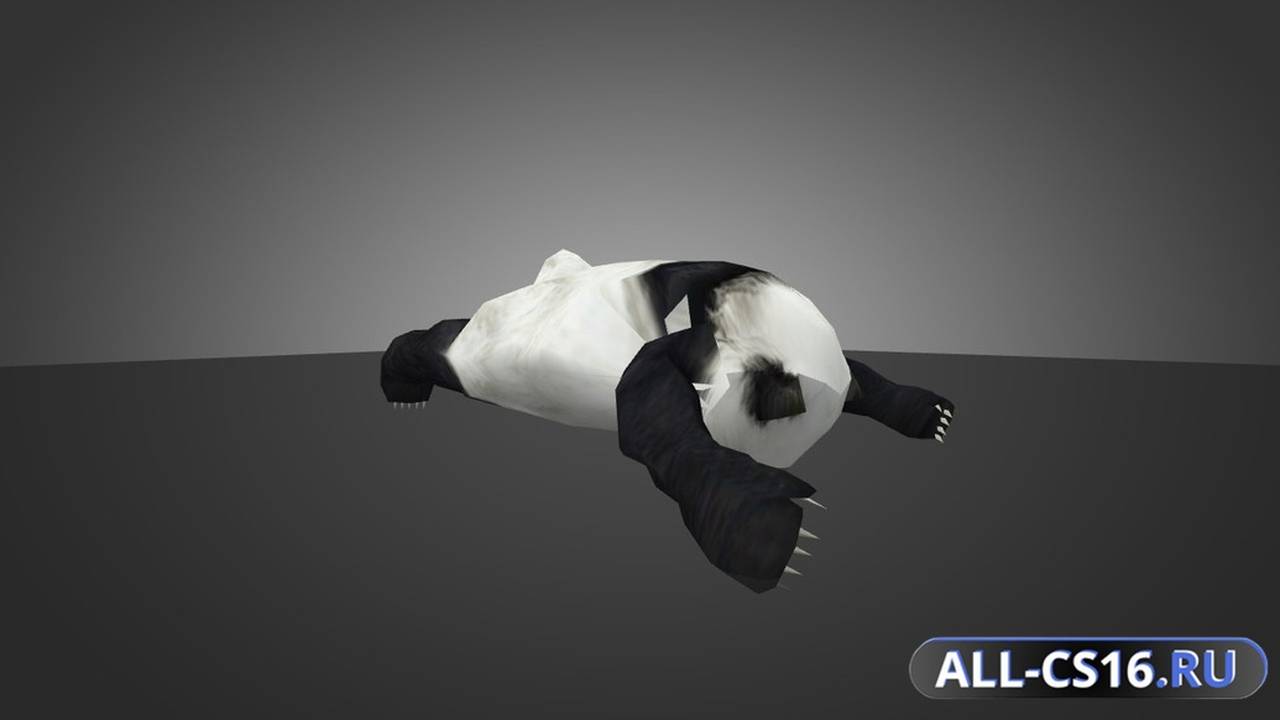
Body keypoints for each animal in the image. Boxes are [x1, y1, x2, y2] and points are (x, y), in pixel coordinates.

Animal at [380, 249, 954, 593]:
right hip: (481, 348)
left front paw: (932, 414)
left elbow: (863, 379)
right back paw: (402, 383)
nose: (719, 382)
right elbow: (652, 411)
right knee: (439, 341)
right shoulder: (683, 339)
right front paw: (769, 532)